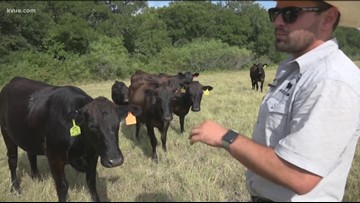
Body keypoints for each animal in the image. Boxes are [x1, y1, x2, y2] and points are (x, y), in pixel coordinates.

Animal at [0, 76, 141, 201]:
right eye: (92, 127)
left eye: (117, 124)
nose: (115, 160)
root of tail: (14, 80)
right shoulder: (54, 157)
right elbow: (62, 186)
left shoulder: (93, 155)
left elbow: (91, 181)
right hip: (6, 134)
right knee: (12, 161)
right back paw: (15, 188)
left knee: (31, 155)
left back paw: (37, 178)